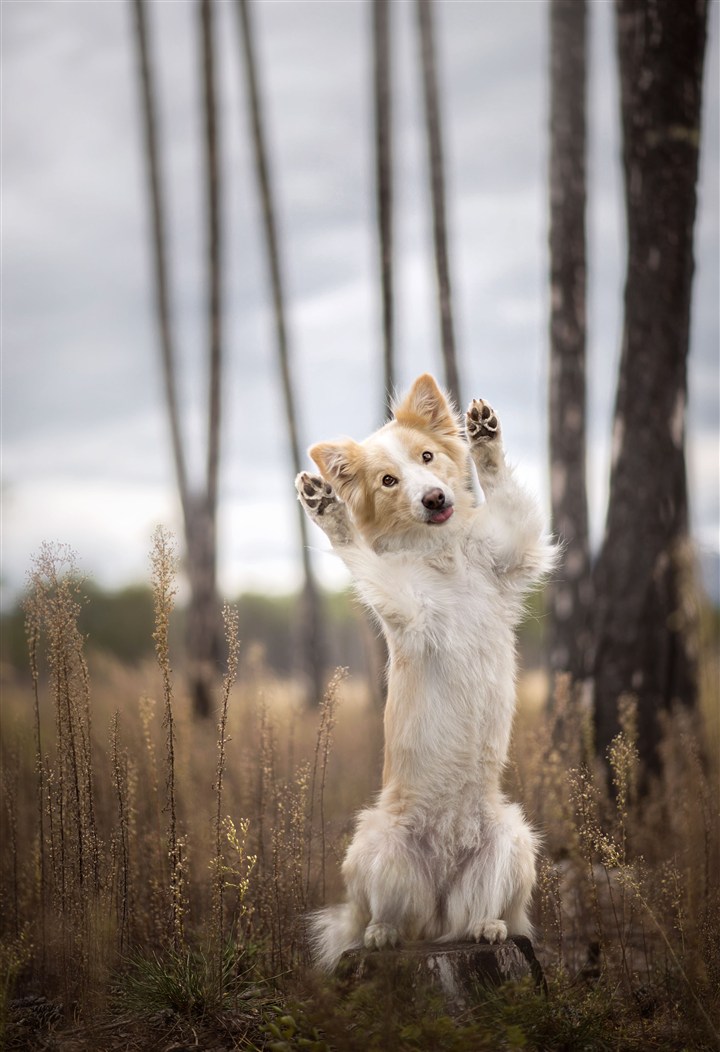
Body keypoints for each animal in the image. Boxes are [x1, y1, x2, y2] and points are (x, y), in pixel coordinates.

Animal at [294, 376, 555, 967]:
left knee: (479, 912)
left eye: (427, 458)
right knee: (388, 916)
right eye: (389, 481)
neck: (443, 556)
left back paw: (486, 927)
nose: (433, 497)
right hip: (375, 844)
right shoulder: (408, 607)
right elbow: (360, 555)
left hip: (513, 839)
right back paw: (382, 934)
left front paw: (484, 434)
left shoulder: (514, 552)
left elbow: (503, 489)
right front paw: (328, 508)